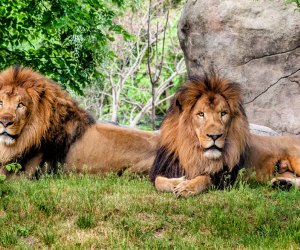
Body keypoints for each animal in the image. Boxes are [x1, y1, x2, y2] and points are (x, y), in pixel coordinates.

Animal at [150, 71, 300, 196]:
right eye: (201, 114)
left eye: (223, 113)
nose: (215, 136)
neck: (193, 152)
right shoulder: (163, 168)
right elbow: (158, 181)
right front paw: (178, 181)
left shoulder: (226, 177)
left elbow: (205, 178)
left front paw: (187, 187)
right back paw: (282, 183)